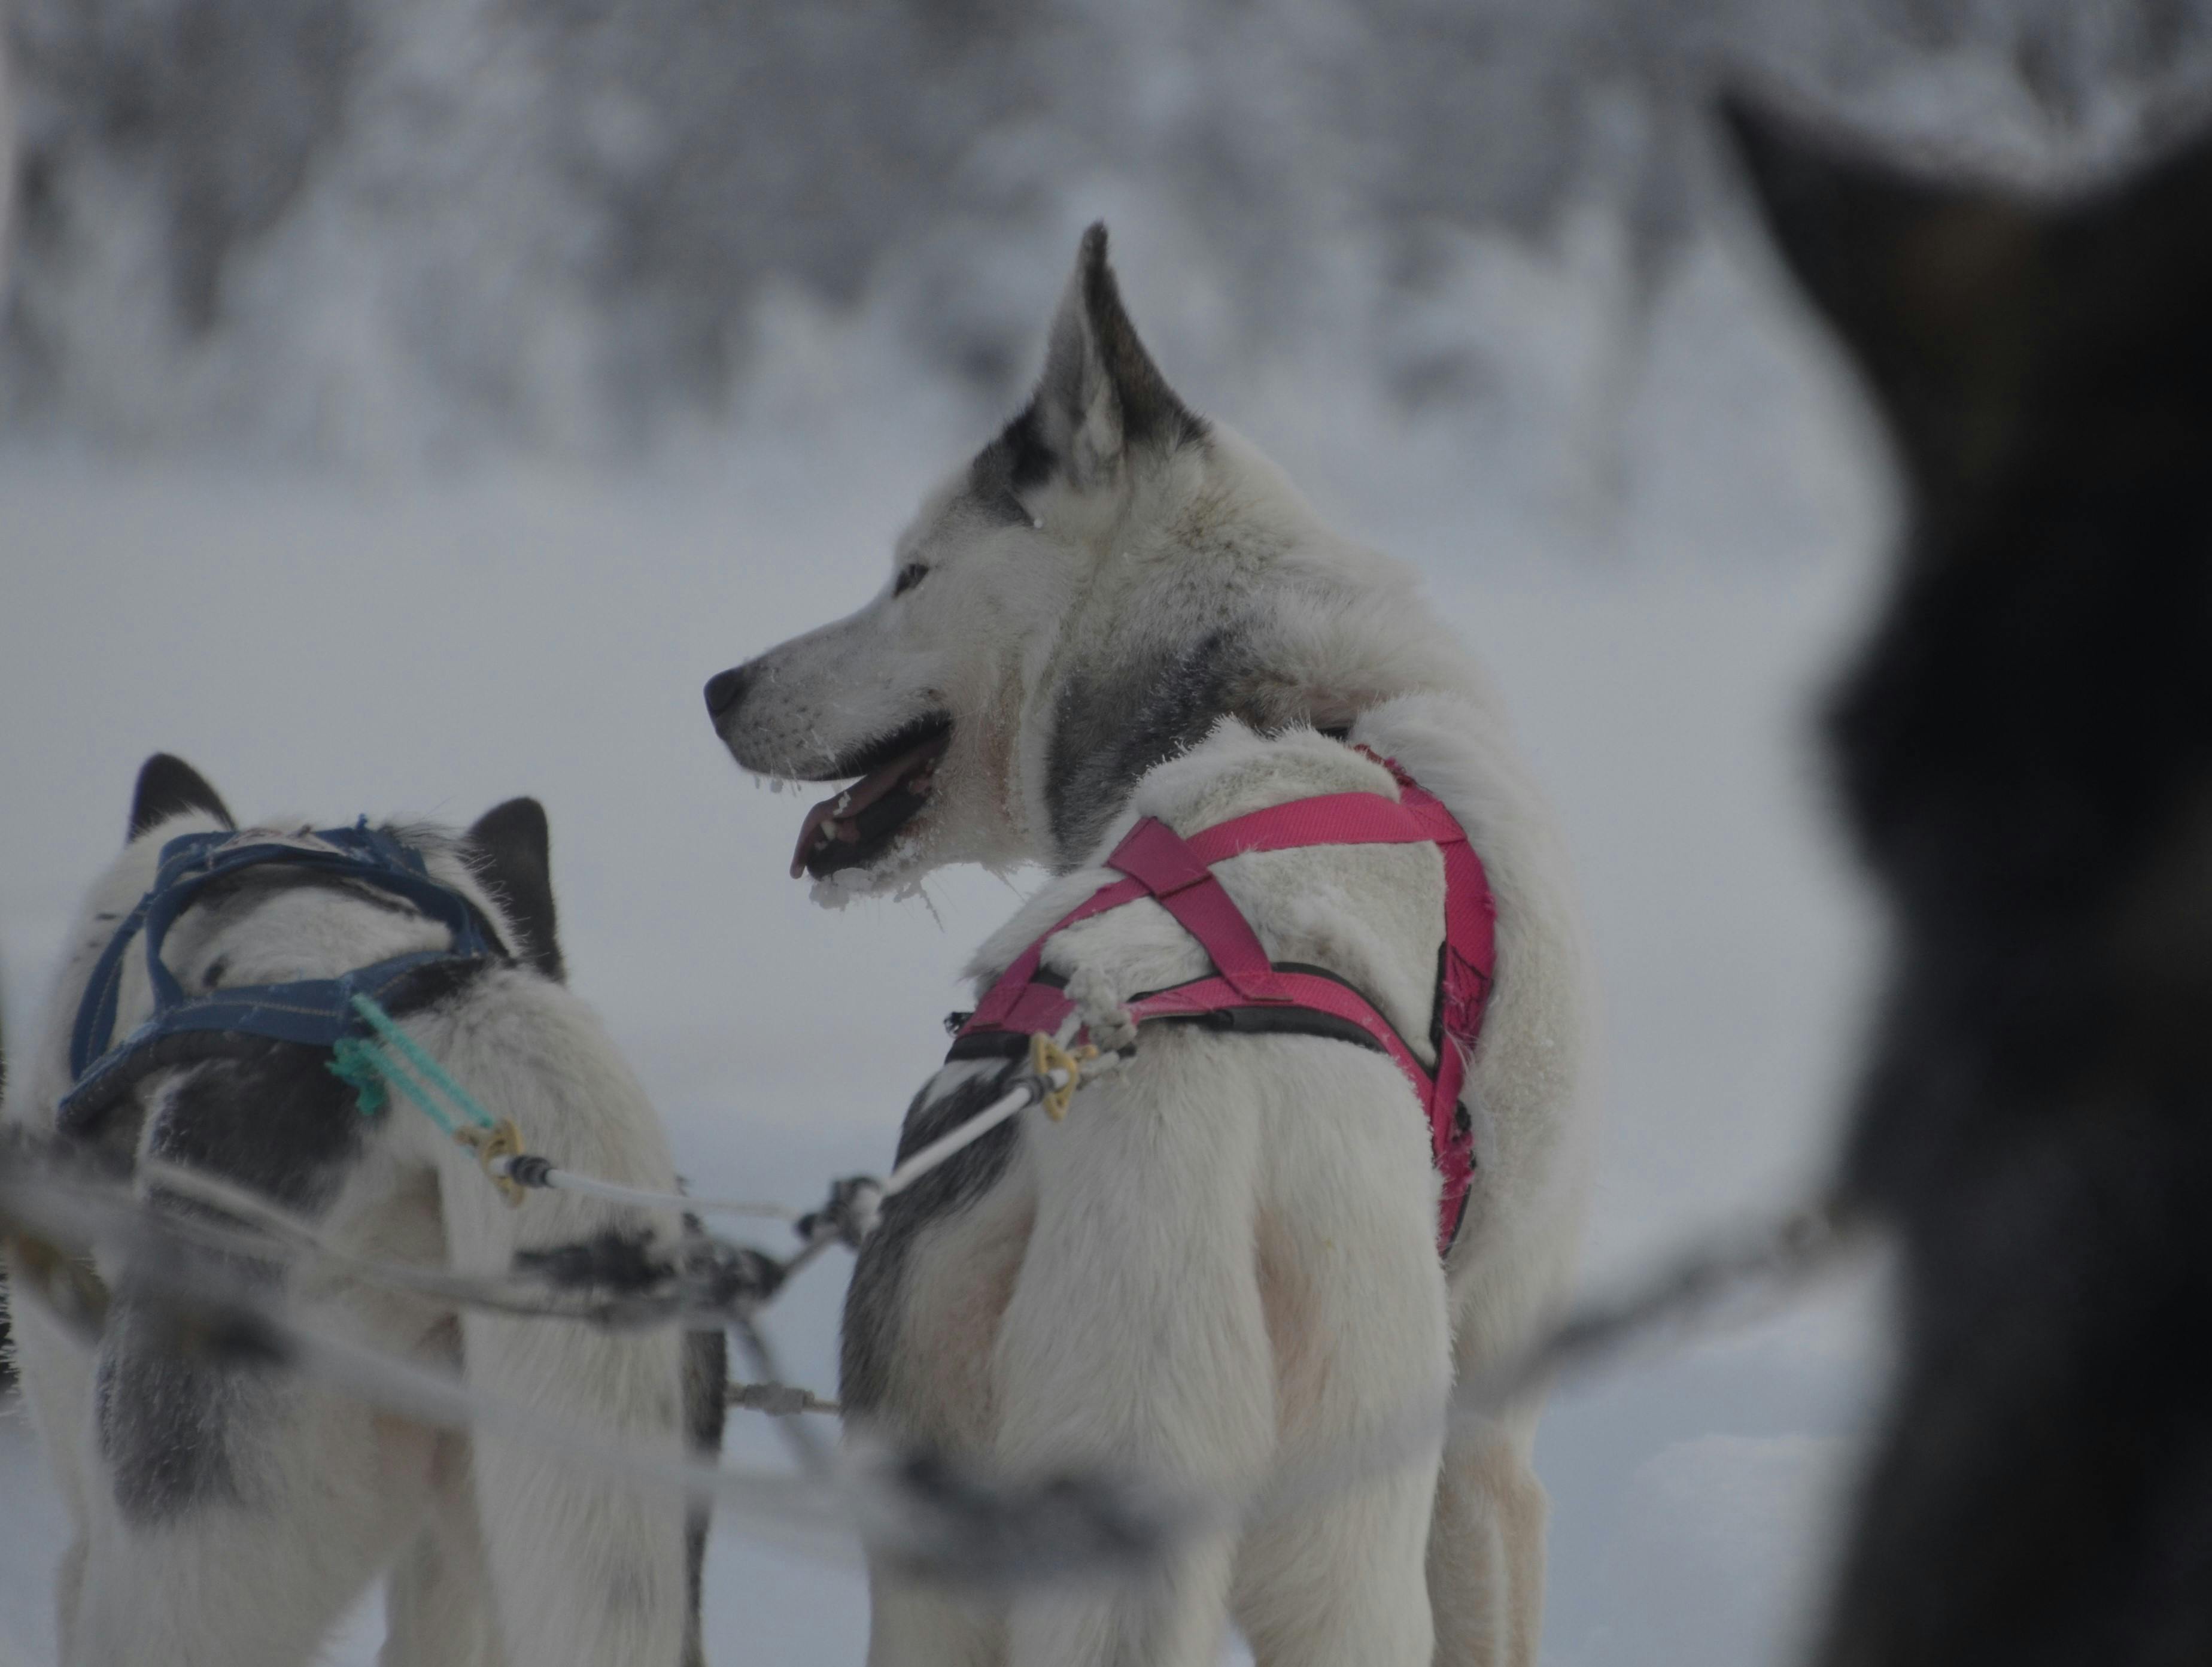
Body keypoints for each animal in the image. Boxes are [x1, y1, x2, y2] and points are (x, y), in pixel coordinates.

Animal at [707, 224, 1593, 1662]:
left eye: (910, 575)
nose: (718, 688)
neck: (1290, 696)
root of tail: (1162, 1124)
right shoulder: (1488, 1452)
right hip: (1348, 1544)